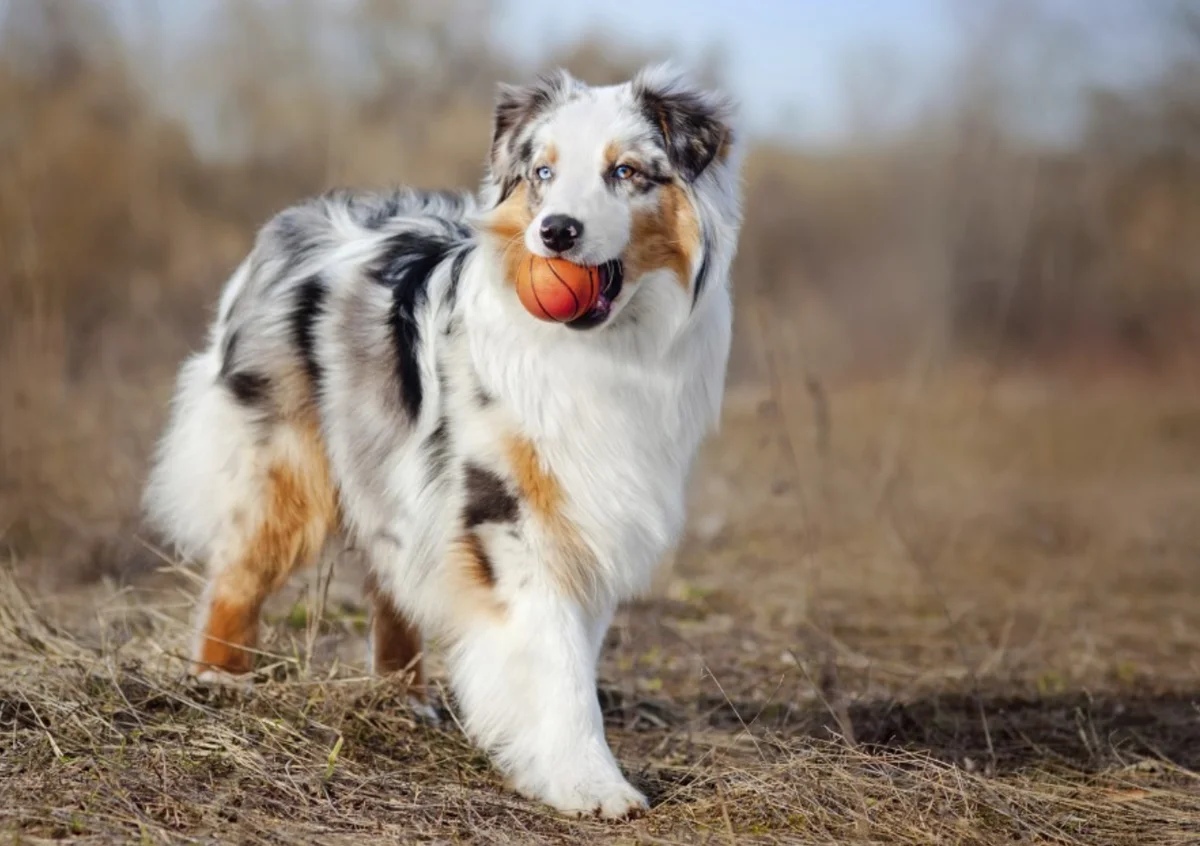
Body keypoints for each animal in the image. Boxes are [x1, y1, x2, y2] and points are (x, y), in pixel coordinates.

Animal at [140, 66, 739, 816]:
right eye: (543, 173)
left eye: (626, 172)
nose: (556, 233)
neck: (601, 350)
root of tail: (292, 223)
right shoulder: (507, 513)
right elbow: (557, 661)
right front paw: (589, 783)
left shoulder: (588, 512)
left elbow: (570, 648)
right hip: (288, 468)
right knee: (239, 574)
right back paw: (219, 681)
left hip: (391, 472)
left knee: (390, 580)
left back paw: (404, 699)